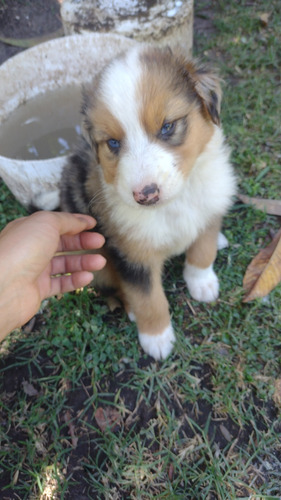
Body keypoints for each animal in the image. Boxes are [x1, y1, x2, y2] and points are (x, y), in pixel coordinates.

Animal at [60, 44, 235, 360]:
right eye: (113, 143)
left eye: (167, 127)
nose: (146, 194)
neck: (176, 202)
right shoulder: (132, 254)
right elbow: (147, 297)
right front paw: (156, 339)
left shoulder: (209, 206)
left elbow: (202, 251)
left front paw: (202, 283)